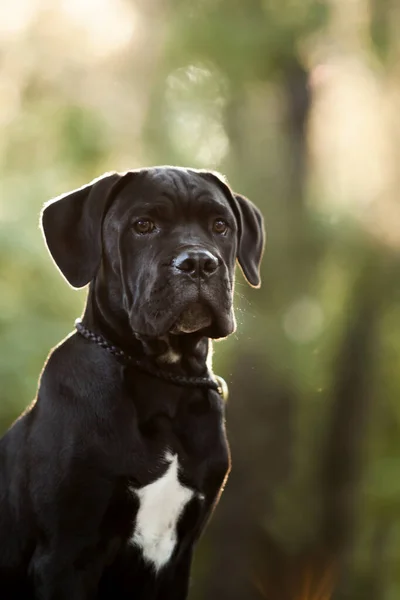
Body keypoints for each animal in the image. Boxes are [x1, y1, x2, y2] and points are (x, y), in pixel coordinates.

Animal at [0, 166, 264, 596]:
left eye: (220, 225)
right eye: (143, 225)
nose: (198, 262)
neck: (165, 380)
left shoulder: (180, 557)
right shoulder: (65, 556)